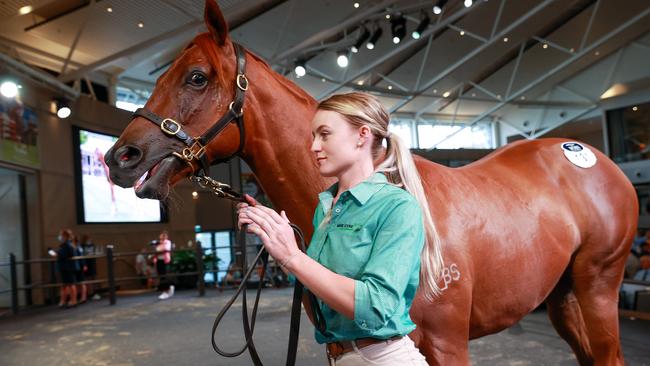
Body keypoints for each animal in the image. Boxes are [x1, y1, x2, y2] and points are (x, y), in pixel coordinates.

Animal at [104, 1, 636, 364]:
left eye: (196, 77)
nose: (119, 157)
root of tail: (594, 159)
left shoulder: (448, 345)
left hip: (598, 287)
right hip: (563, 298)